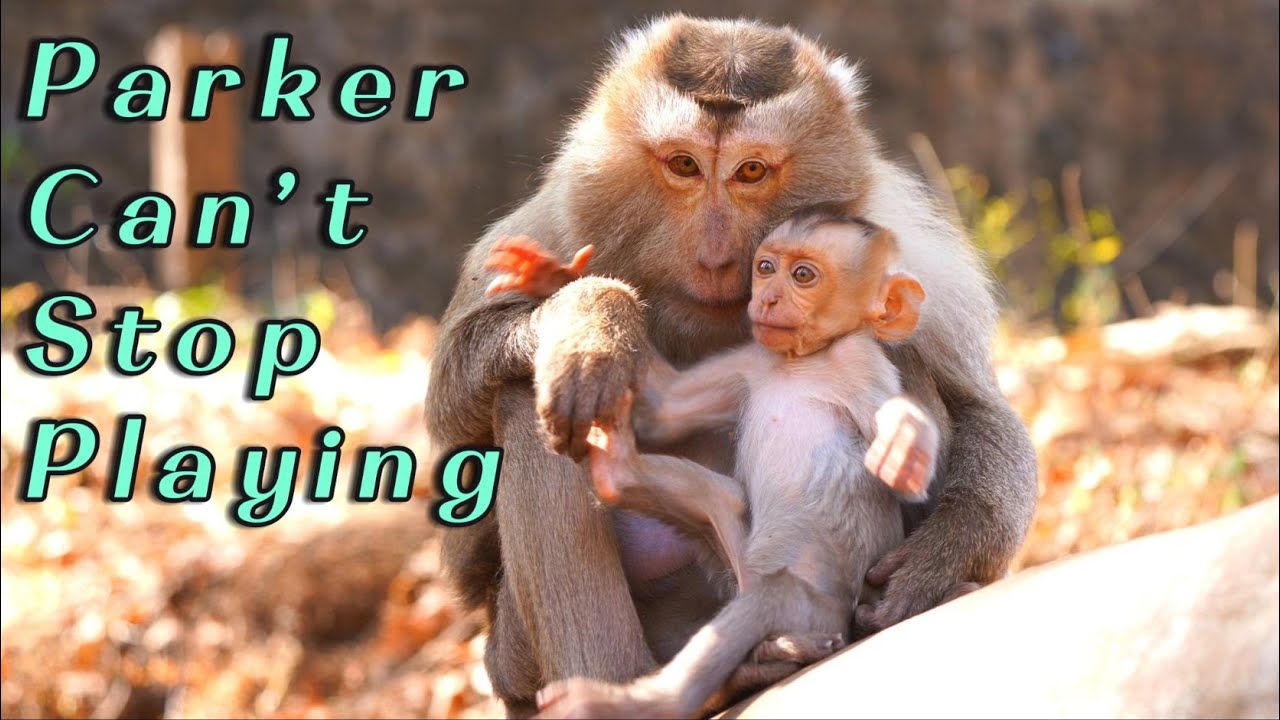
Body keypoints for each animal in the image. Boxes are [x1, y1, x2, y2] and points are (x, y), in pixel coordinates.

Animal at [425, 14, 1038, 716]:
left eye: (750, 171)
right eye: (684, 165)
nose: (718, 258)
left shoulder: (908, 250)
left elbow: (981, 410)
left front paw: (942, 554)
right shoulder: (562, 215)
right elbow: (451, 406)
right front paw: (587, 320)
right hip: (522, 655)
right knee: (528, 388)